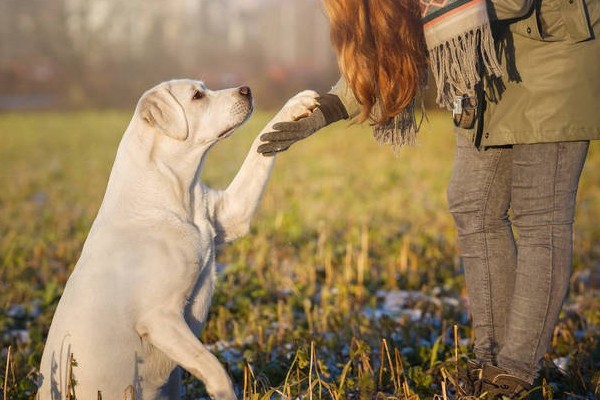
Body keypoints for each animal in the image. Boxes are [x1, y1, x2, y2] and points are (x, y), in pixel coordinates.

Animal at [37, 79, 318, 400]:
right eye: (197, 96)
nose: (246, 89)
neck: (176, 194)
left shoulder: (232, 214)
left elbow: (260, 147)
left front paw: (297, 105)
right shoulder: (160, 318)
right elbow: (212, 366)